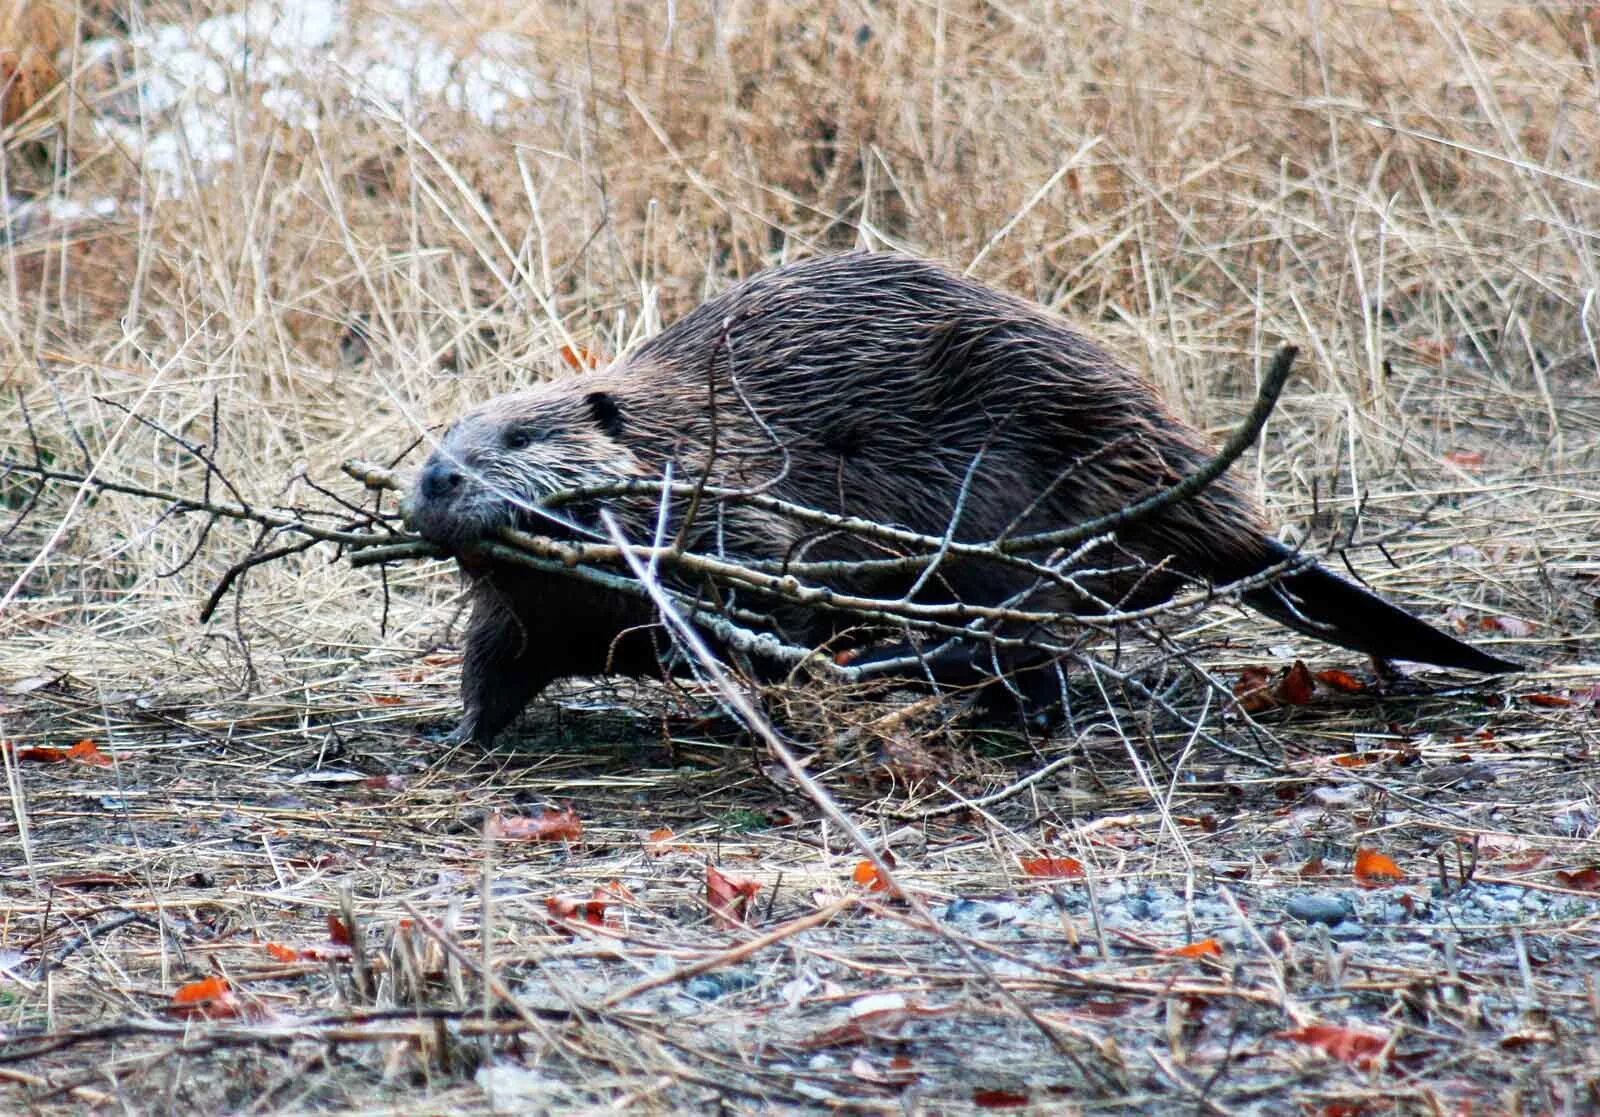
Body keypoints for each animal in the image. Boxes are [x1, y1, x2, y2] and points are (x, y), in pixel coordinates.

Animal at [406, 249, 1516, 739]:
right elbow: (496, 658)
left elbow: (762, 596)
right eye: (443, 435)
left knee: (1027, 631)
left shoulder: (754, 498)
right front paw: (457, 740)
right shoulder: (526, 609)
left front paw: (760, 682)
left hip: (1010, 507)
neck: (693, 428)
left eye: (519, 434)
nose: (436, 475)